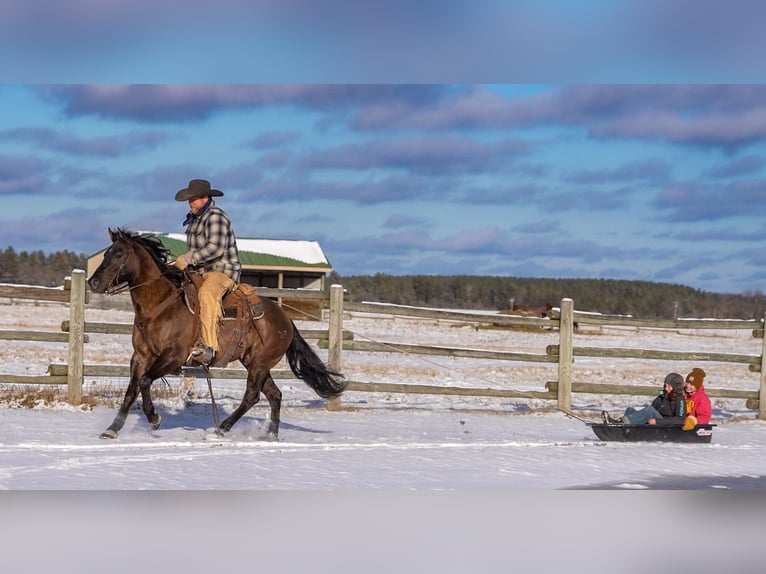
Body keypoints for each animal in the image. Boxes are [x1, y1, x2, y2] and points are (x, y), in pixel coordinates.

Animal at [86, 228, 344, 440]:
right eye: (106, 254)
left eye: (119, 254)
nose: (93, 282)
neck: (162, 305)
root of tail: (286, 319)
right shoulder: (140, 356)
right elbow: (132, 390)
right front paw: (113, 428)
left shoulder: (174, 357)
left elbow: (146, 381)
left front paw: (154, 419)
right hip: (255, 363)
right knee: (275, 395)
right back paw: (270, 434)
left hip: (259, 364)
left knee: (252, 396)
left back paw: (222, 428)